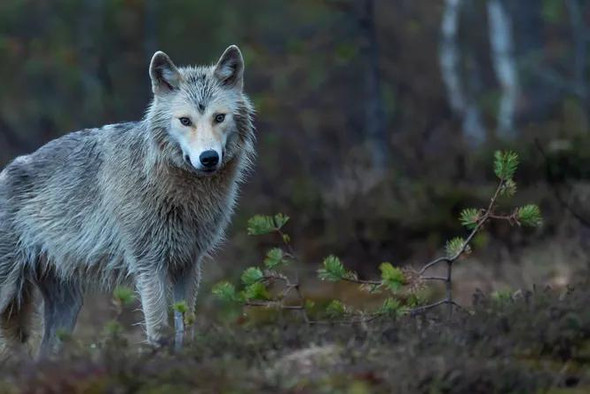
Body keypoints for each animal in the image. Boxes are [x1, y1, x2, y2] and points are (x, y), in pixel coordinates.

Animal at [0, 44, 256, 356]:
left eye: (219, 117)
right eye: (185, 121)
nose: (208, 158)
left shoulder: (188, 264)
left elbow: (187, 327)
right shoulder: (149, 265)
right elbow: (158, 329)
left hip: (68, 306)